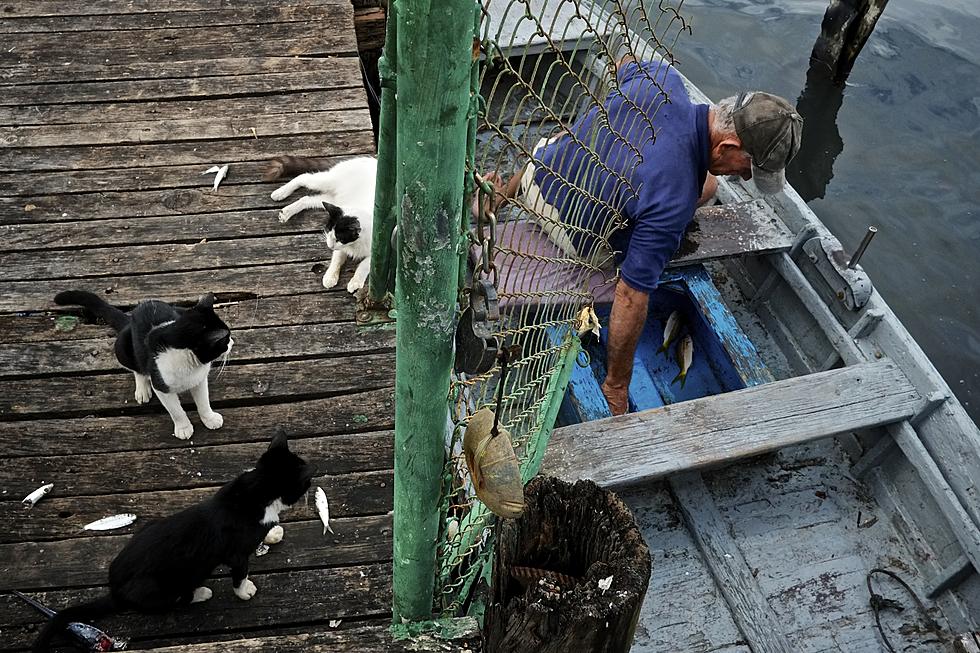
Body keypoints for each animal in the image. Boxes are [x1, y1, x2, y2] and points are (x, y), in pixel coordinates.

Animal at [31, 432, 314, 652]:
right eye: (306, 482)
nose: (311, 482)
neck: (254, 488)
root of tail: (115, 591)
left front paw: (273, 533)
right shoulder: (236, 555)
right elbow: (240, 574)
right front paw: (244, 591)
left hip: (150, 525)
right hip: (162, 585)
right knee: (177, 599)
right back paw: (201, 592)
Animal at [54, 290, 234, 438]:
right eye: (225, 340)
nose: (233, 342)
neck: (190, 365)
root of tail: (132, 317)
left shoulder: (199, 379)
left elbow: (203, 401)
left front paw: (209, 418)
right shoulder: (161, 385)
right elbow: (175, 410)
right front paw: (183, 428)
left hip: (179, 310)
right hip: (121, 347)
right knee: (138, 369)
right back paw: (142, 390)